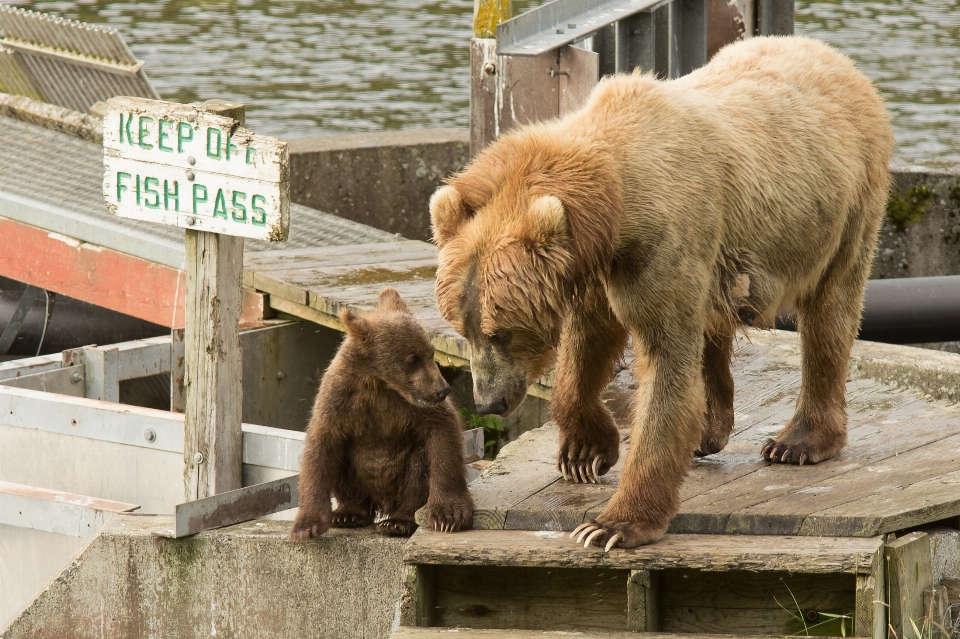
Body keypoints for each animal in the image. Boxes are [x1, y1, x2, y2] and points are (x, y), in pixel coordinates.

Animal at [428, 35, 892, 552]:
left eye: (501, 330)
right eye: (463, 327)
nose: (488, 401)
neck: (613, 209)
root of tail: (836, 58)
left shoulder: (661, 242)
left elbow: (665, 362)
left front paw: (609, 525)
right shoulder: (597, 269)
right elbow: (586, 346)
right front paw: (584, 453)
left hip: (846, 208)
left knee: (829, 315)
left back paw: (798, 441)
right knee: (715, 321)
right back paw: (711, 426)